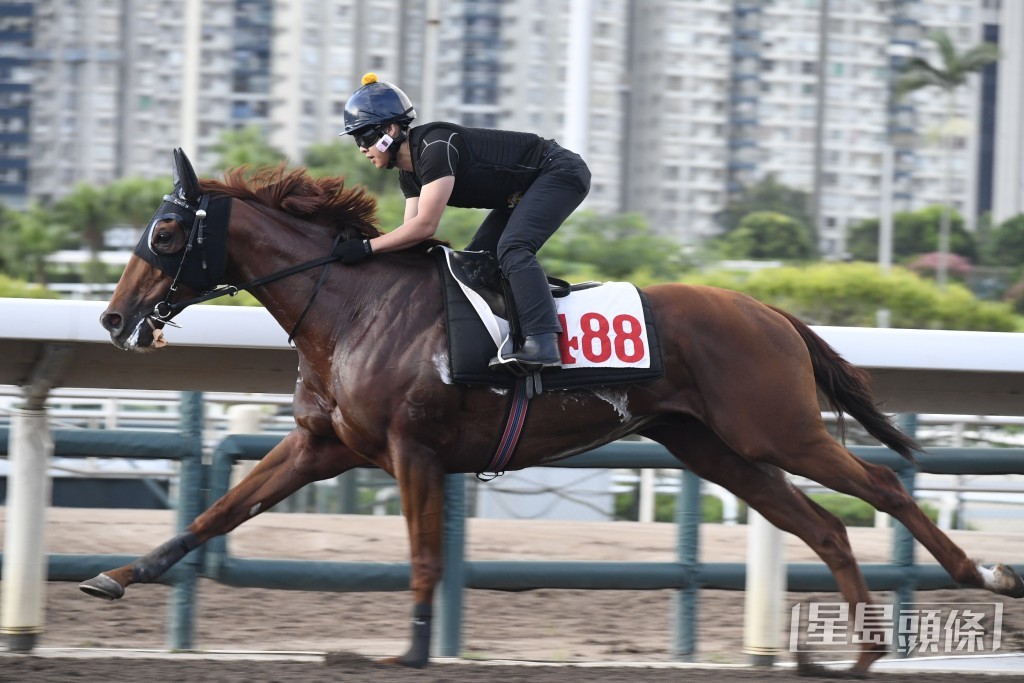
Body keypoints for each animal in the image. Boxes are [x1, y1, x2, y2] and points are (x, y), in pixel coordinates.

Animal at [83, 150, 1019, 671]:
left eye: (165, 232)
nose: (114, 319)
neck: (352, 305)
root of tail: (768, 310)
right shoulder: (324, 444)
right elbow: (215, 513)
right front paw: (116, 574)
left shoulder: (413, 451)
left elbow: (424, 557)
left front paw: (408, 650)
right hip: (713, 448)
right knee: (821, 526)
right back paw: (857, 651)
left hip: (775, 428)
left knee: (883, 490)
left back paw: (983, 576)